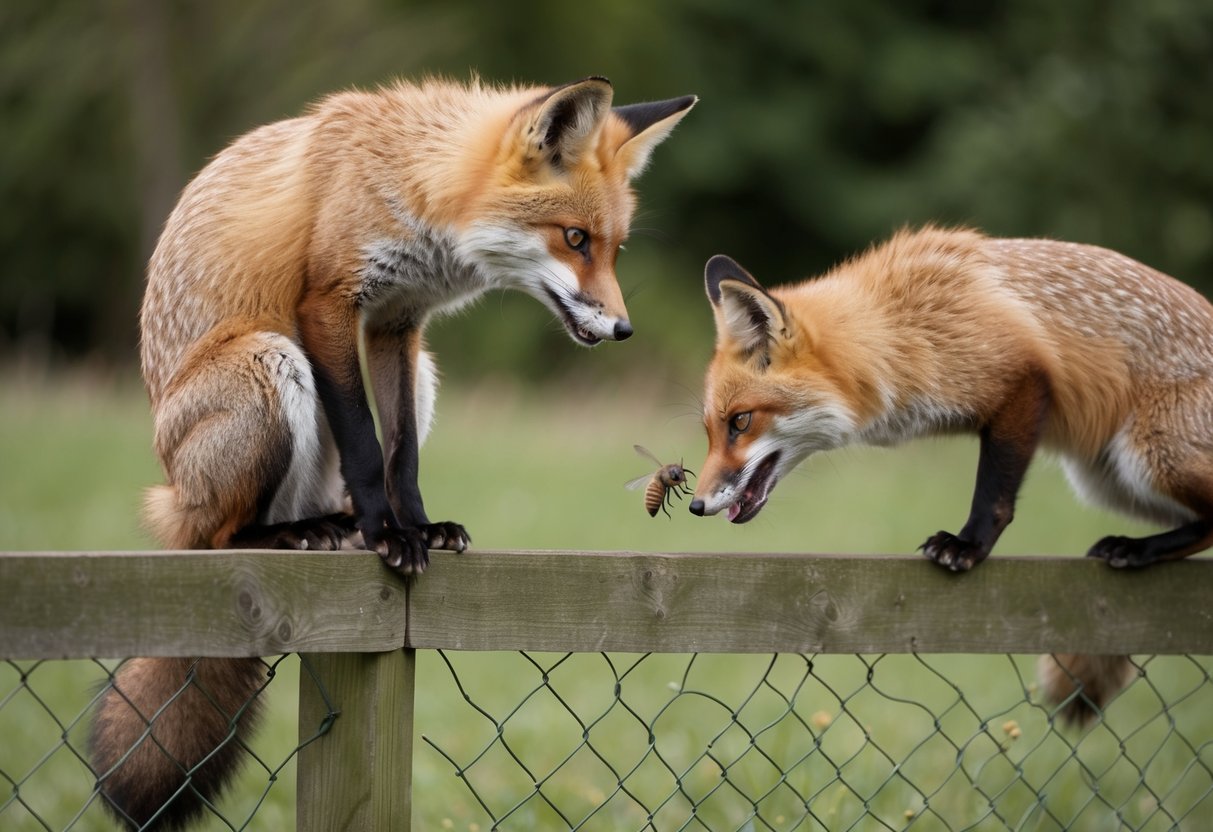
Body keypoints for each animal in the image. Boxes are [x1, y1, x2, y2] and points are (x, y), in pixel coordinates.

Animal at [89, 76, 694, 830]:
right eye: (574, 238)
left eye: (614, 249)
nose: (621, 329)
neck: (417, 190)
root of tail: (172, 502)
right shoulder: (329, 303)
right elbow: (363, 440)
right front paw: (388, 534)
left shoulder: (397, 323)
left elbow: (399, 452)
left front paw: (420, 527)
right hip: (270, 365)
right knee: (222, 537)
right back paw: (300, 532)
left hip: (423, 373)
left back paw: (339, 525)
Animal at [688, 226, 1213, 725]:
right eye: (711, 431)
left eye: (741, 422)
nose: (696, 505)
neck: (900, 331)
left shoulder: (1024, 379)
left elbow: (994, 496)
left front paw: (967, 547)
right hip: (1109, 482)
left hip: (1144, 458)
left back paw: (1136, 548)